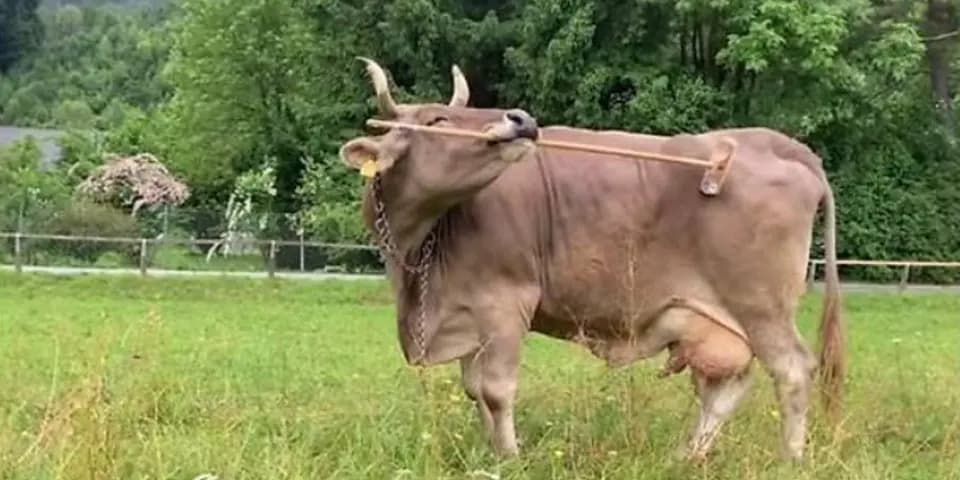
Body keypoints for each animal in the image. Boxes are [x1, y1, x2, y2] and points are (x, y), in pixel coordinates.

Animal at [339, 58, 845, 462]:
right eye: (439, 118)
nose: (521, 119)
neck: (418, 255)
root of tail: (783, 145)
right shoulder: (469, 313)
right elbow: (473, 389)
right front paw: (490, 451)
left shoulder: (505, 303)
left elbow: (496, 391)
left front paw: (509, 457)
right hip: (718, 320)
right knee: (727, 386)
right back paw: (686, 456)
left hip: (761, 306)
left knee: (793, 371)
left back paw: (790, 458)